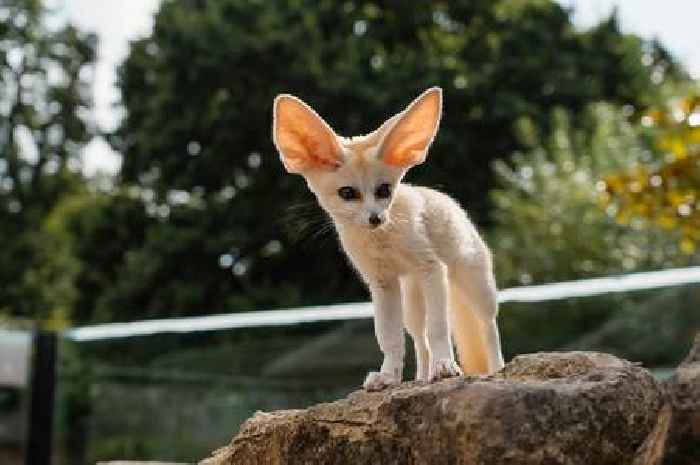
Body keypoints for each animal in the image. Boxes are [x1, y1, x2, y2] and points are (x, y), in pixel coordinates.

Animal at [272, 86, 504, 388]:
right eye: (347, 193)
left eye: (384, 190)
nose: (375, 219)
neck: (381, 241)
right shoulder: (383, 284)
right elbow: (390, 338)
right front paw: (388, 376)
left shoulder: (432, 269)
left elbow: (439, 327)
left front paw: (445, 366)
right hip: (412, 303)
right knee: (420, 339)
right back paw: (421, 377)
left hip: (476, 288)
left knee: (488, 327)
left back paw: (497, 368)